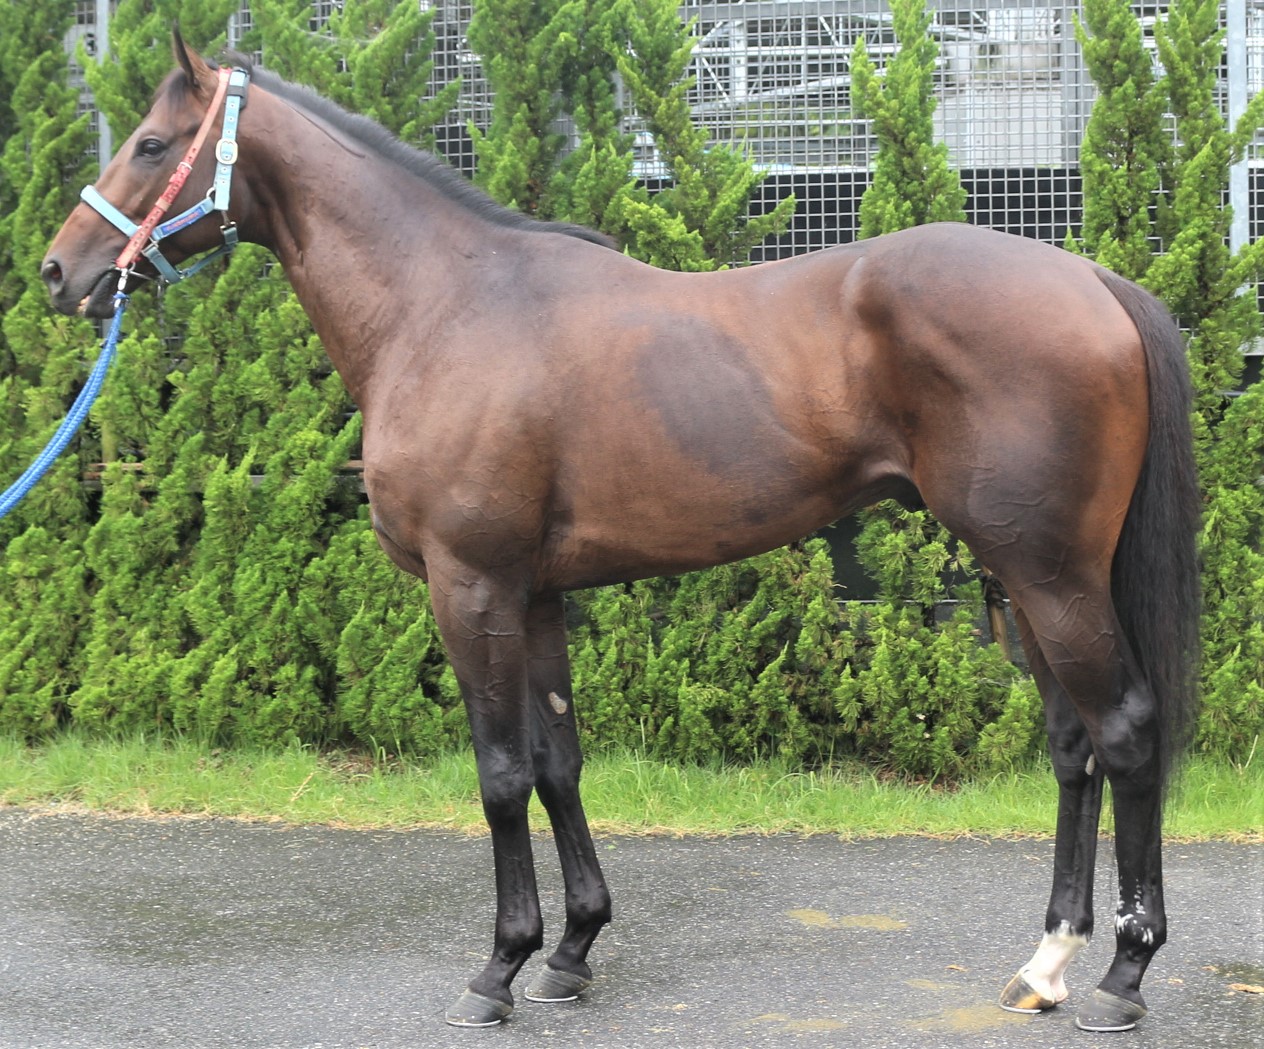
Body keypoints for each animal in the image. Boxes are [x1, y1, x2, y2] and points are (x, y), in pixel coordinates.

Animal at [42, 33, 1200, 1033]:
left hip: (1052, 575)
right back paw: (1045, 965)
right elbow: (559, 759)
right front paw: (570, 951)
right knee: (1072, 747)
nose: (60, 272)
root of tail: (1091, 278)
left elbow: (500, 772)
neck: (446, 306)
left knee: (1125, 730)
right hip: (1023, 576)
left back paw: (1122, 974)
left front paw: (498, 968)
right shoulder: (536, 594)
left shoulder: (470, 587)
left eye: (152, 144)